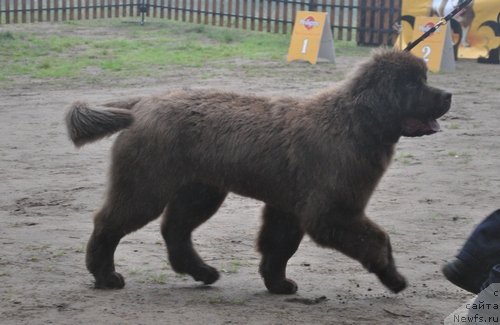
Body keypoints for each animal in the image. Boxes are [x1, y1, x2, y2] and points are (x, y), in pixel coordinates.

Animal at [64, 48, 452, 294]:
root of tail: (143, 103)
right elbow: (377, 239)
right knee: (109, 224)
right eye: (413, 84)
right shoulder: (332, 209)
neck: (354, 122)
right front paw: (394, 278)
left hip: (200, 190)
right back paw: (106, 276)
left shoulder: (289, 207)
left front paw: (278, 285)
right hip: (146, 185)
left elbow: (279, 248)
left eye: (424, 78)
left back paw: (202, 272)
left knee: (175, 230)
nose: (447, 95)